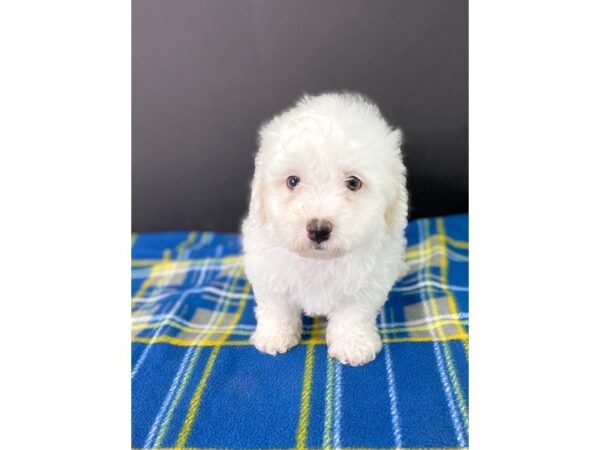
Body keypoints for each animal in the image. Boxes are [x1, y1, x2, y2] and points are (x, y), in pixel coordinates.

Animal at [241, 92, 410, 366]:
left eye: (353, 183)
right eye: (293, 181)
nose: (318, 229)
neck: (319, 261)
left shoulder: (367, 282)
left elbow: (354, 314)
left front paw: (353, 345)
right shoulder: (268, 272)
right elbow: (276, 307)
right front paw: (275, 336)